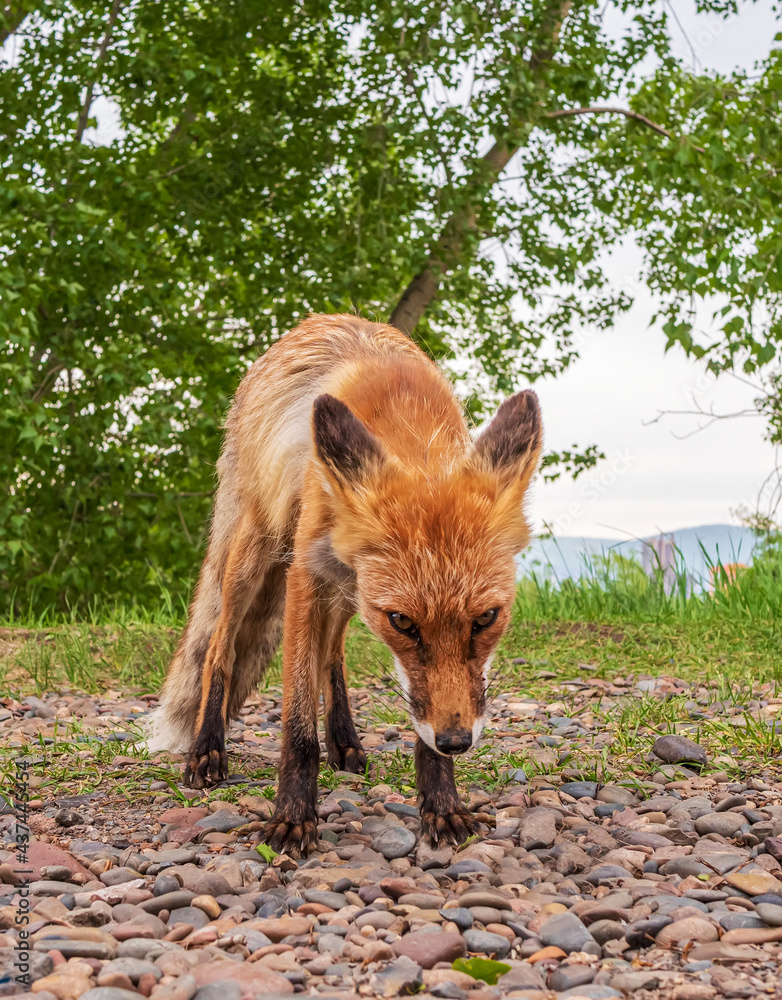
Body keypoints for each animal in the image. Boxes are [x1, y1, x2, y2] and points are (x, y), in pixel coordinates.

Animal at [147, 314, 544, 860]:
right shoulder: (304, 575)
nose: (456, 741)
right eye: (403, 622)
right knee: (218, 649)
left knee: (331, 657)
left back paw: (344, 740)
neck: (405, 419)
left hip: (347, 586)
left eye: (486, 618)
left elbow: (405, 708)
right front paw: (293, 819)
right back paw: (207, 749)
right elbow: (297, 723)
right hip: (258, 550)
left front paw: (442, 802)